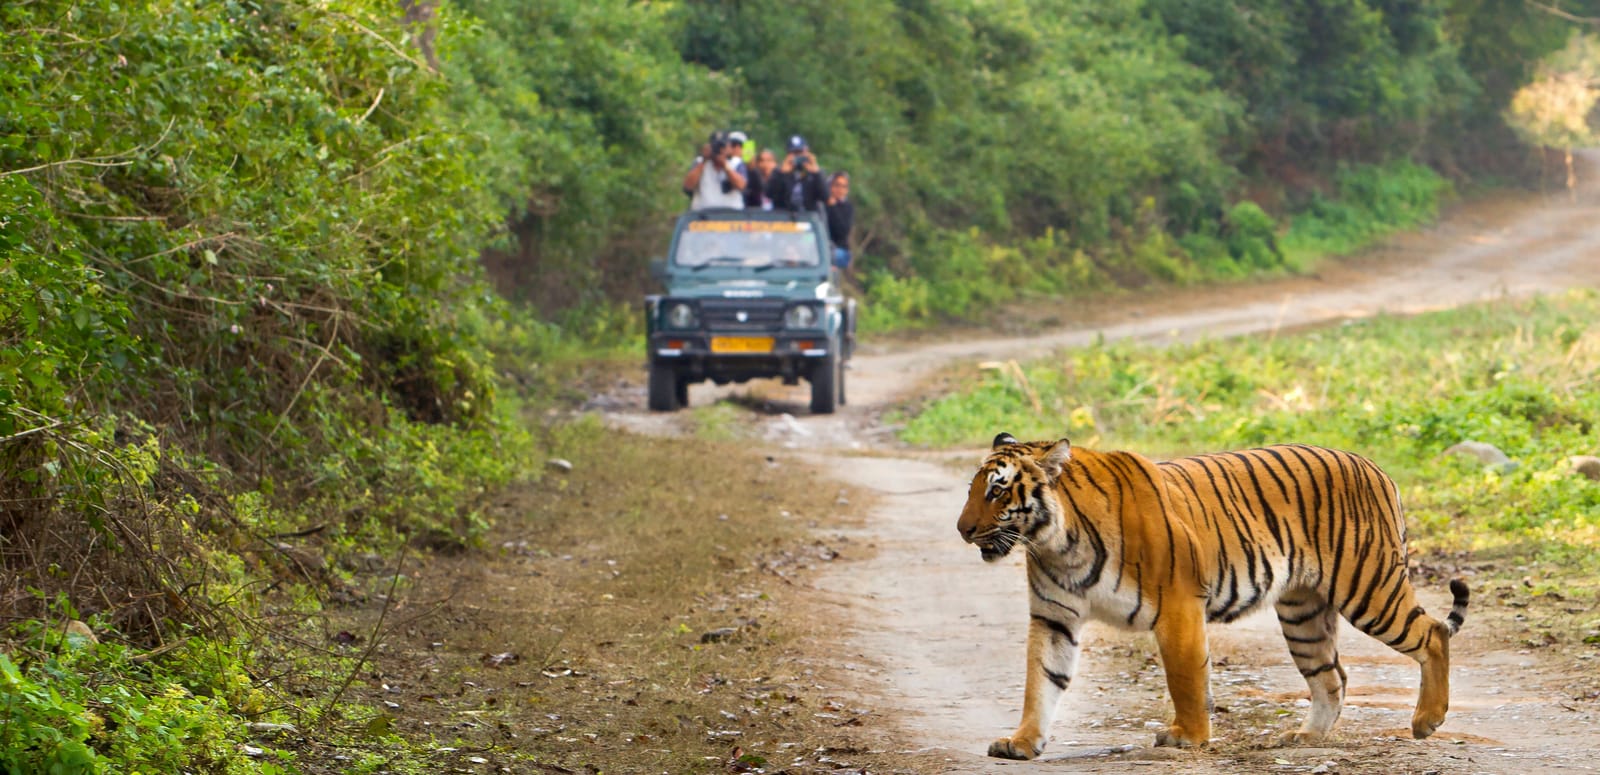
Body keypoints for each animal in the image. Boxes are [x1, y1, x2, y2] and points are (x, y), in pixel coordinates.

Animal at [953, 432, 1465, 758]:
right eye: (973, 490)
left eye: (998, 491)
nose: (962, 530)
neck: (1056, 543)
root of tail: (1376, 467)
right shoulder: (1054, 618)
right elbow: (1040, 682)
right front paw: (1021, 742)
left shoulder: (1178, 605)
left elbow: (1186, 678)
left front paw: (1188, 737)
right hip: (1303, 613)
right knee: (1332, 675)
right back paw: (1306, 737)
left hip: (1368, 586)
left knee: (1433, 634)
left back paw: (1427, 720)